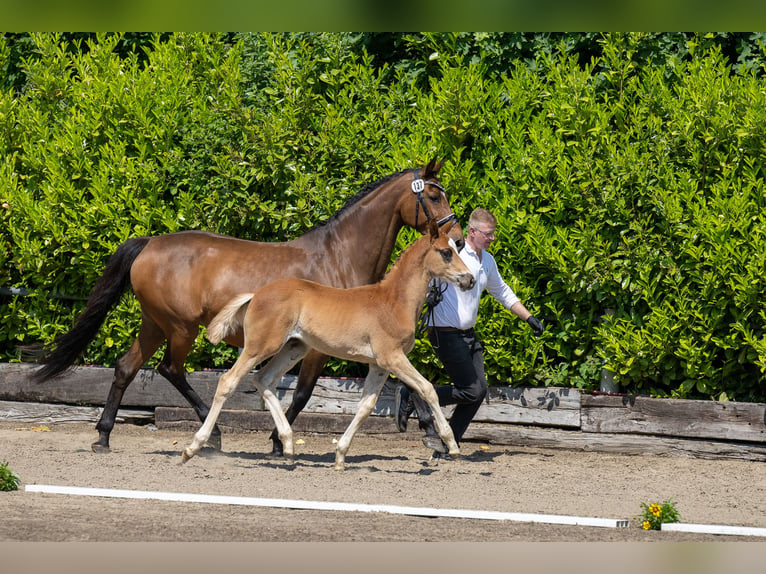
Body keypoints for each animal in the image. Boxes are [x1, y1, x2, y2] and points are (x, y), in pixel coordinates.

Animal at [31, 158, 462, 454]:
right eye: (434, 195)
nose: (457, 238)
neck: (338, 256)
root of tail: (150, 242)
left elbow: (406, 383)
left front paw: (432, 433)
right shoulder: (322, 348)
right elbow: (303, 393)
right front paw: (276, 440)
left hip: (153, 323)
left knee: (126, 367)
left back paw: (104, 436)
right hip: (181, 327)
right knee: (171, 369)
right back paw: (212, 436)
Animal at [183, 220, 476, 472]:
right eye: (446, 252)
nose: (469, 279)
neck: (393, 301)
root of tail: (256, 294)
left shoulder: (378, 365)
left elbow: (366, 406)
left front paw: (340, 456)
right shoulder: (392, 357)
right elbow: (428, 389)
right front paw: (451, 445)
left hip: (293, 347)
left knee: (263, 380)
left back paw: (288, 446)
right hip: (261, 346)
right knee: (228, 381)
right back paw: (193, 447)